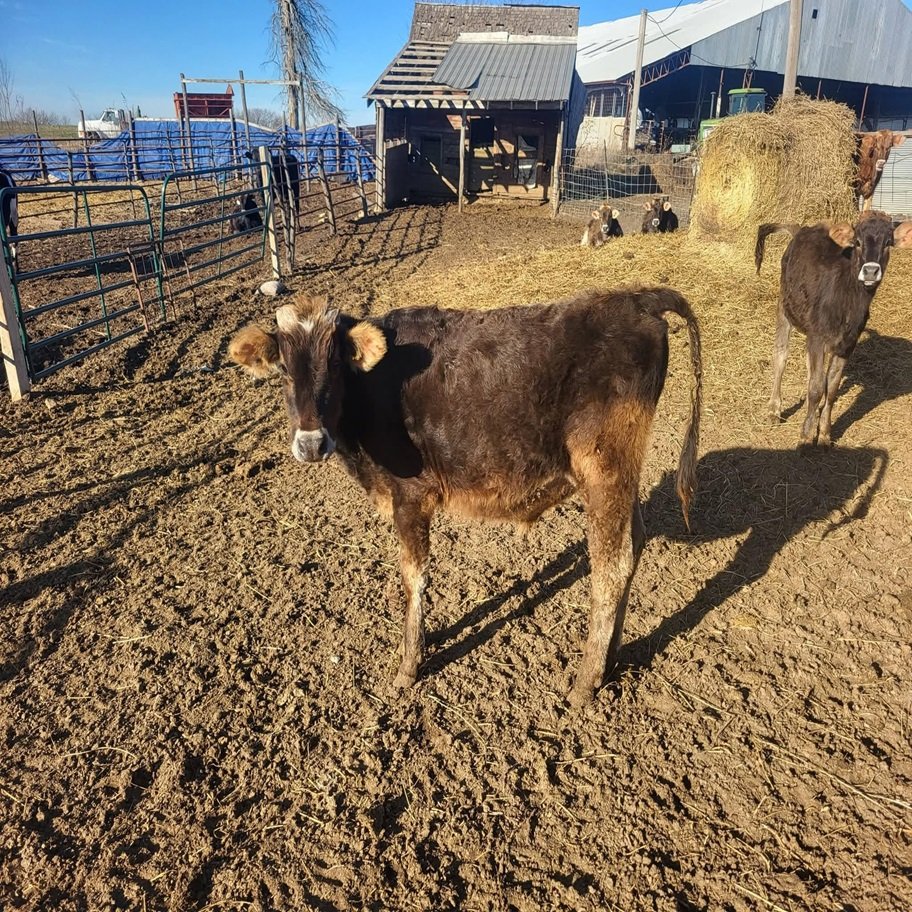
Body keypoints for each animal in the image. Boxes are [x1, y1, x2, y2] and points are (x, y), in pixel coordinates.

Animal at [229, 288, 702, 707]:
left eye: (335, 365)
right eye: (284, 369)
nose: (310, 444)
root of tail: (636, 298)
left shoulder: (410, 497)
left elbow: (413, 578)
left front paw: (409, 666)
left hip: (604, 468)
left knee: (612, 564)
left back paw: (585, 683)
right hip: (623, 474)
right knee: (634, 545)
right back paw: (611, 657)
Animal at [755, 211, 912, 445]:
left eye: (888, 243)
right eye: (857, 242)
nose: (870, 271)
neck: (848, 302)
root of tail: (802, 229)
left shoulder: (847, 344)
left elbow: (830, 388)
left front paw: (824, 434)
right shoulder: (818, 338)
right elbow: (816, 388)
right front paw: (805, 436)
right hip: (784, 306)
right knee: (781, 356)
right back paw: (774, 410)